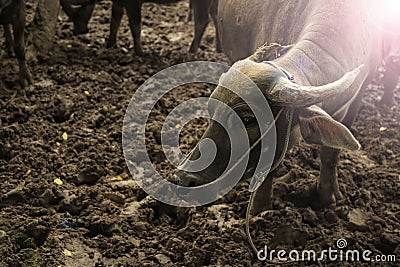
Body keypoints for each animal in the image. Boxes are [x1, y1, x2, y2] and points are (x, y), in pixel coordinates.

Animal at [60, 0, 220, 55]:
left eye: (78, 14)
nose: (79, 30)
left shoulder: (133, 3)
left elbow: (135, 25)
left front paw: (139, 51)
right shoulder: (118, 2)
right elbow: (114, 22)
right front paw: (110, 44)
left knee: (202, 21)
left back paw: (192, 50)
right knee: (216, 16)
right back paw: (218, 47)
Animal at [174, 0, 388, 215]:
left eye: (248, 119)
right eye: (212, 111)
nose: (182, 179)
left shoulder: (356, 100)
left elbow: (330, 154)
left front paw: (327, 197)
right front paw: (259, 210)